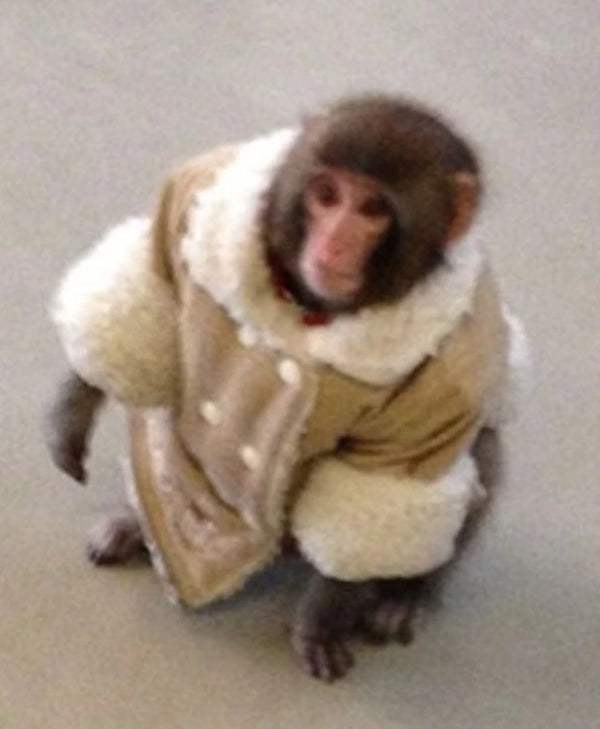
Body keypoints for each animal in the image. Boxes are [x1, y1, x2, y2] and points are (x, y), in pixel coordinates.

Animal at [46, 94, 526, 681]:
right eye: (327, 195)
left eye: (373, 209)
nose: (333, 242)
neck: (307, 306)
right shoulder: (191, 196)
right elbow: (149, 285)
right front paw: (72, 408)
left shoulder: (447, 385)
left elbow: (371, 498)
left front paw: (320, 623)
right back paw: (140, 525)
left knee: (478, 463)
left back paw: (404, 594)